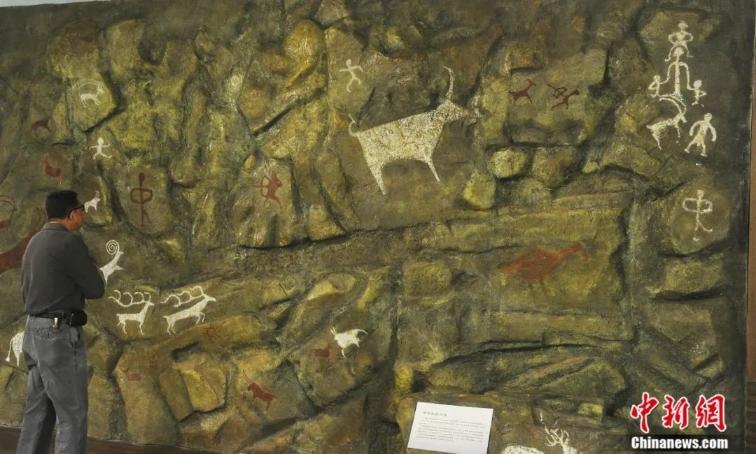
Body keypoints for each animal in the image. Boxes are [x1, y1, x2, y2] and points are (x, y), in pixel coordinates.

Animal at [348, 66, 470, 194]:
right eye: (453, 109)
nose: (467, 111)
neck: (432, 121)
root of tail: (358, 134)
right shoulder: (426, 154)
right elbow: (434, 171)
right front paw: (439, 182)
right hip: (374, 165)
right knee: (380, 183)